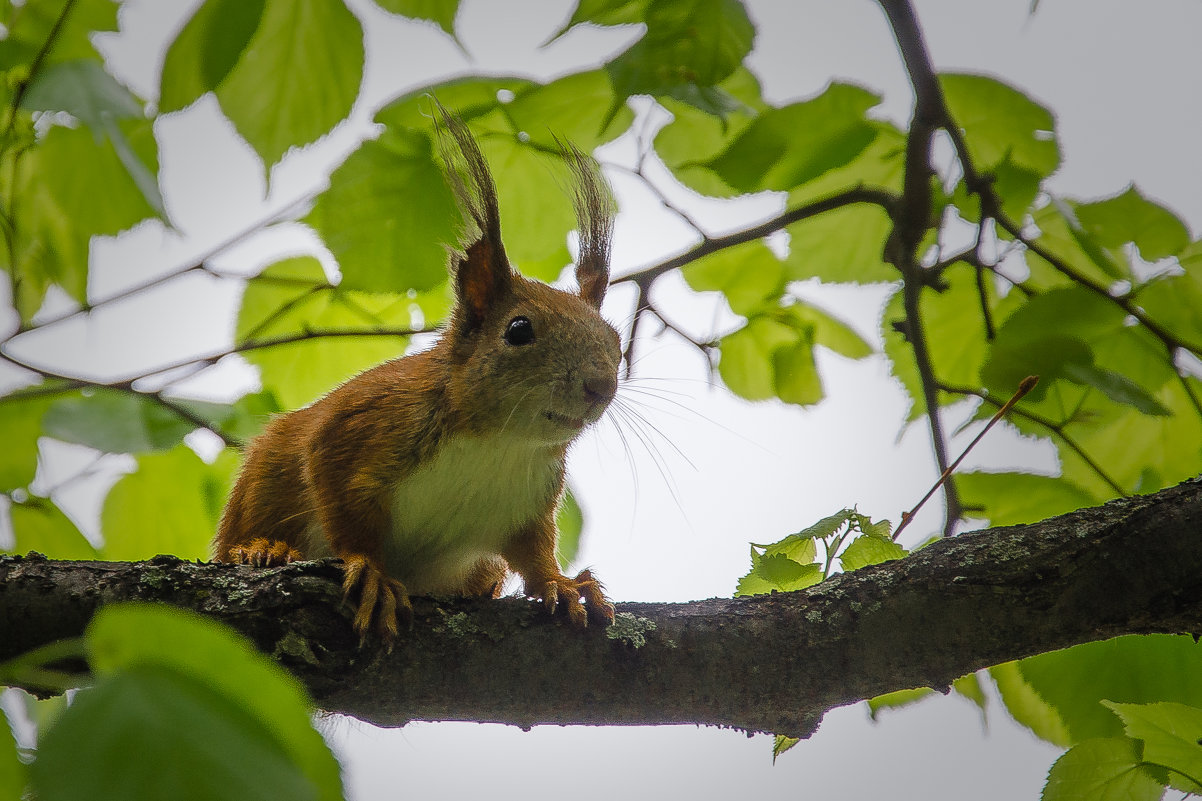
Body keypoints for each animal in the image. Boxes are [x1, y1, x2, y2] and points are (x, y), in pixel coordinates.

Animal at [212, 107, 620, 644]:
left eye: (616, 341)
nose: (601, 387)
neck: (497, 441)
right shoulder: (358, 427)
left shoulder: (528, 504)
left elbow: (534, 554)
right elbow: (344, 509)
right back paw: (262, 549)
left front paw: (563, 584)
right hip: (263, 479)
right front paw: (371, 572)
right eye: (519, 330)